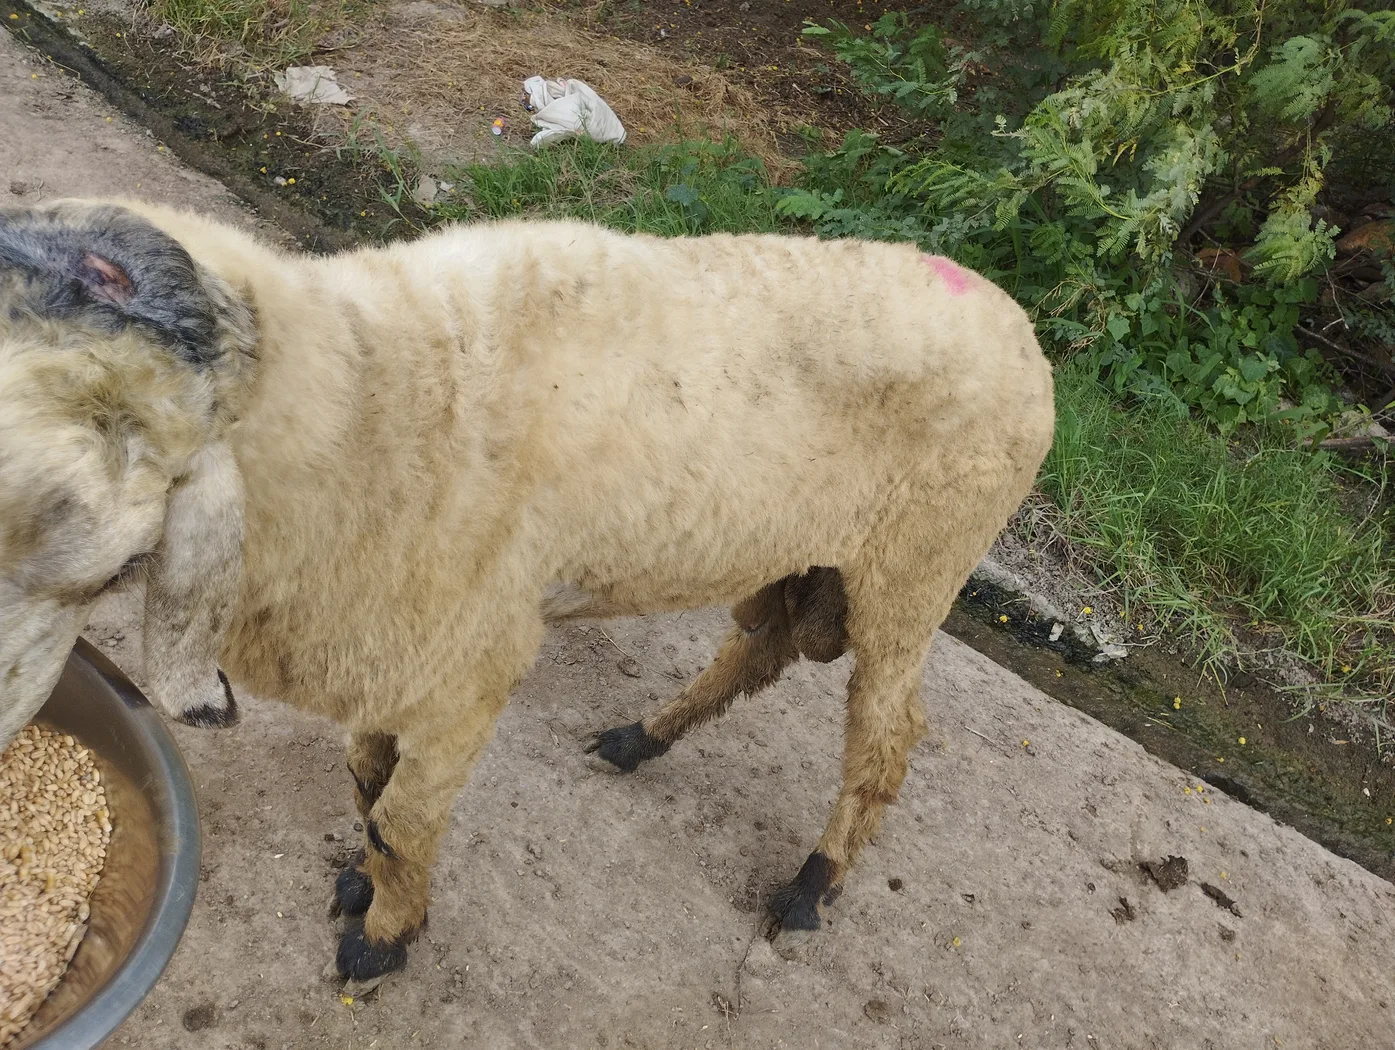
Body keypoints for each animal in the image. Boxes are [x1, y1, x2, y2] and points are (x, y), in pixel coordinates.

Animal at [0, 198, 1055, 982]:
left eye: (117, 563)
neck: (378, 398)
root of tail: (1019, 328)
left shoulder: (468, 663)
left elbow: (402, 820)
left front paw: (381, 942)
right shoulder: (391, 645)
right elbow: (370, 783)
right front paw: (368, 890)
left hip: (916, 567)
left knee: (886, 738)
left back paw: (809, 887)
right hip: (806, 559)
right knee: (757, 647)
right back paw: (642, 738)